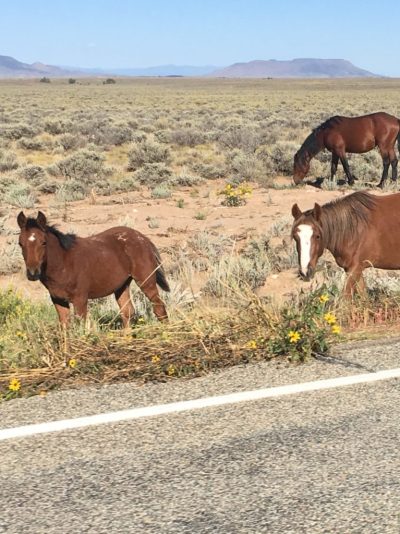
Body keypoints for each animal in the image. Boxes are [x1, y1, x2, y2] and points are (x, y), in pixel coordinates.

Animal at [17, 213, 170, 326]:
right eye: (20, 243)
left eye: (43, 242)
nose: (32, 273)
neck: (63, 263)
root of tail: (143, 238)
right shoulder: (58, 300)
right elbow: (65, 329)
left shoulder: (80, 300)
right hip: (122, 285)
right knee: (127, 312)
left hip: (146, 280)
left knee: (159, 308)